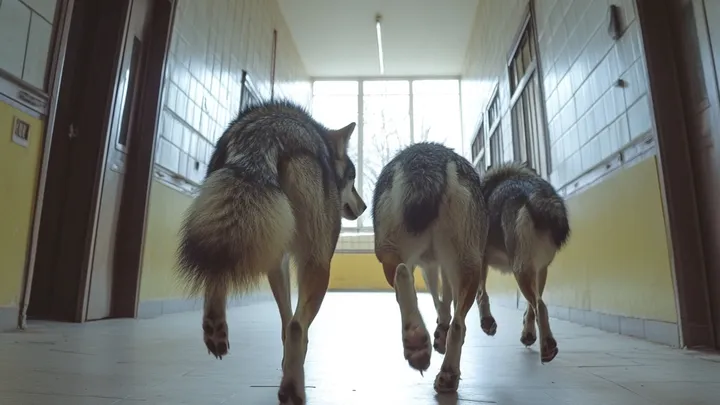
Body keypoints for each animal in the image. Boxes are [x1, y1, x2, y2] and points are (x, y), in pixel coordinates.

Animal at [176, 100, 366, 405]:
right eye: (352, 179)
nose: (363, 207)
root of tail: (268, 130)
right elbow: (294, 324)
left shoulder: (277, 260)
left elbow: (285, 322)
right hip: (319, 264)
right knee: (298, 326)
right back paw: (293, 389)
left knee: (218, 270)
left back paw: (216, 331)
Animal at [372, 142, 489, 394]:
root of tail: (427, 161)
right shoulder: (434, 265)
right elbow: (443, 301)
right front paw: (440, 332)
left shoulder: (432, 264)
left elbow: (440, 299)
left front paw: (438, 333)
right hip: (468, 265)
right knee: (458, 324)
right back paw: (446, 369)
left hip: (391, 254)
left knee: (403, 277)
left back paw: (418, 344)